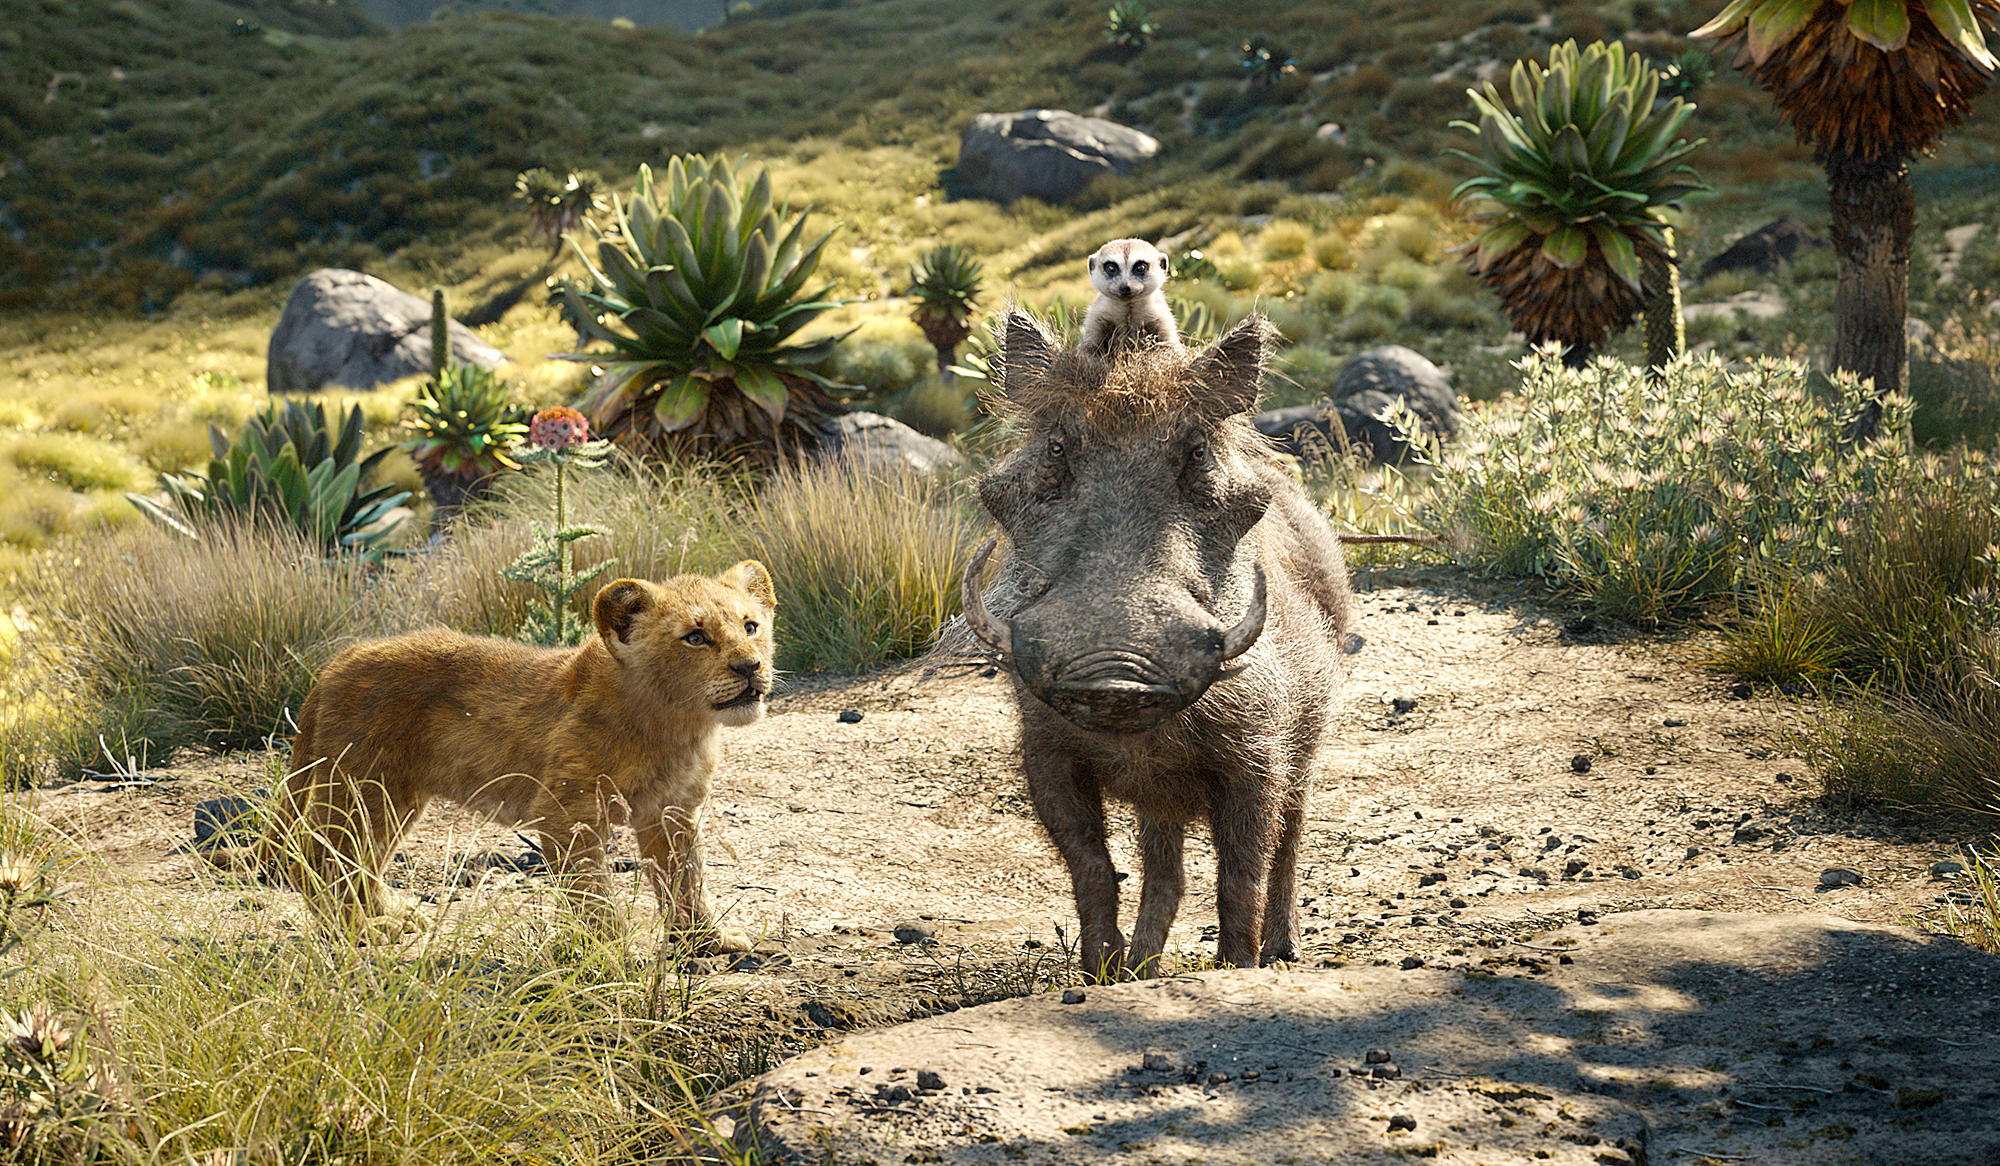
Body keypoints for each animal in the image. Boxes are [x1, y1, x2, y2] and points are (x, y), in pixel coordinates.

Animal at [208, 563, 776, 949]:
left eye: (750, 626)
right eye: (696, 637)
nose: (750, 667)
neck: (676, 725)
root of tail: (335, 662)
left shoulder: (673, 812)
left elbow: (687, 880)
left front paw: (705, 942)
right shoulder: (567, 812)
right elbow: (592, 894)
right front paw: (610, 953)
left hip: (392, 797)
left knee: (359, 860)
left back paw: (391, 915)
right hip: (360, 787)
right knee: (317, 860)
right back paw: (364, 931)